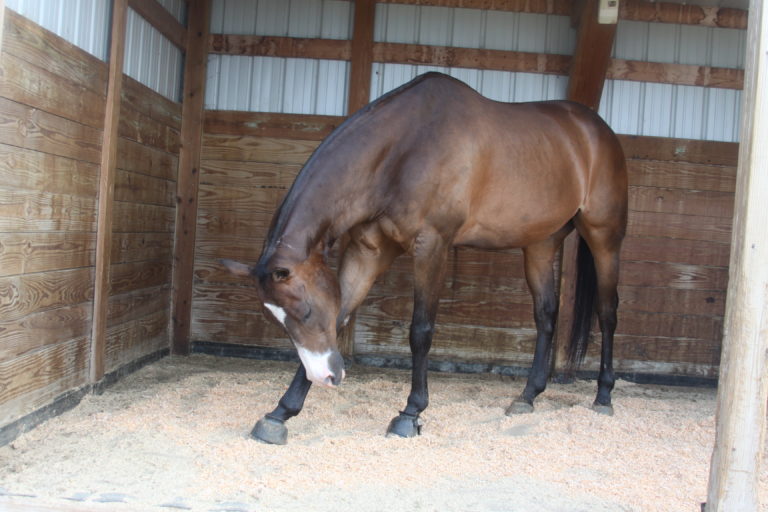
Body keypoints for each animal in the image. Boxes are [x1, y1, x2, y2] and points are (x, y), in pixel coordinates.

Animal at [222, 72, 628, 445]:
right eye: (280, 320)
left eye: (304, 311)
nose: (327, 377)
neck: (402, 150)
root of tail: (596, 130)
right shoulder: (367, 251)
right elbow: (339, 317)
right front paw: (280, 413)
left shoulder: (432, 245)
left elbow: (421, 331)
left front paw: (410, 413)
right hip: (541, 244)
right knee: (546, 315)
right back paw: (527, 396)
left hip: (604, 238)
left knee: (607, 313)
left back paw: (604, 396)